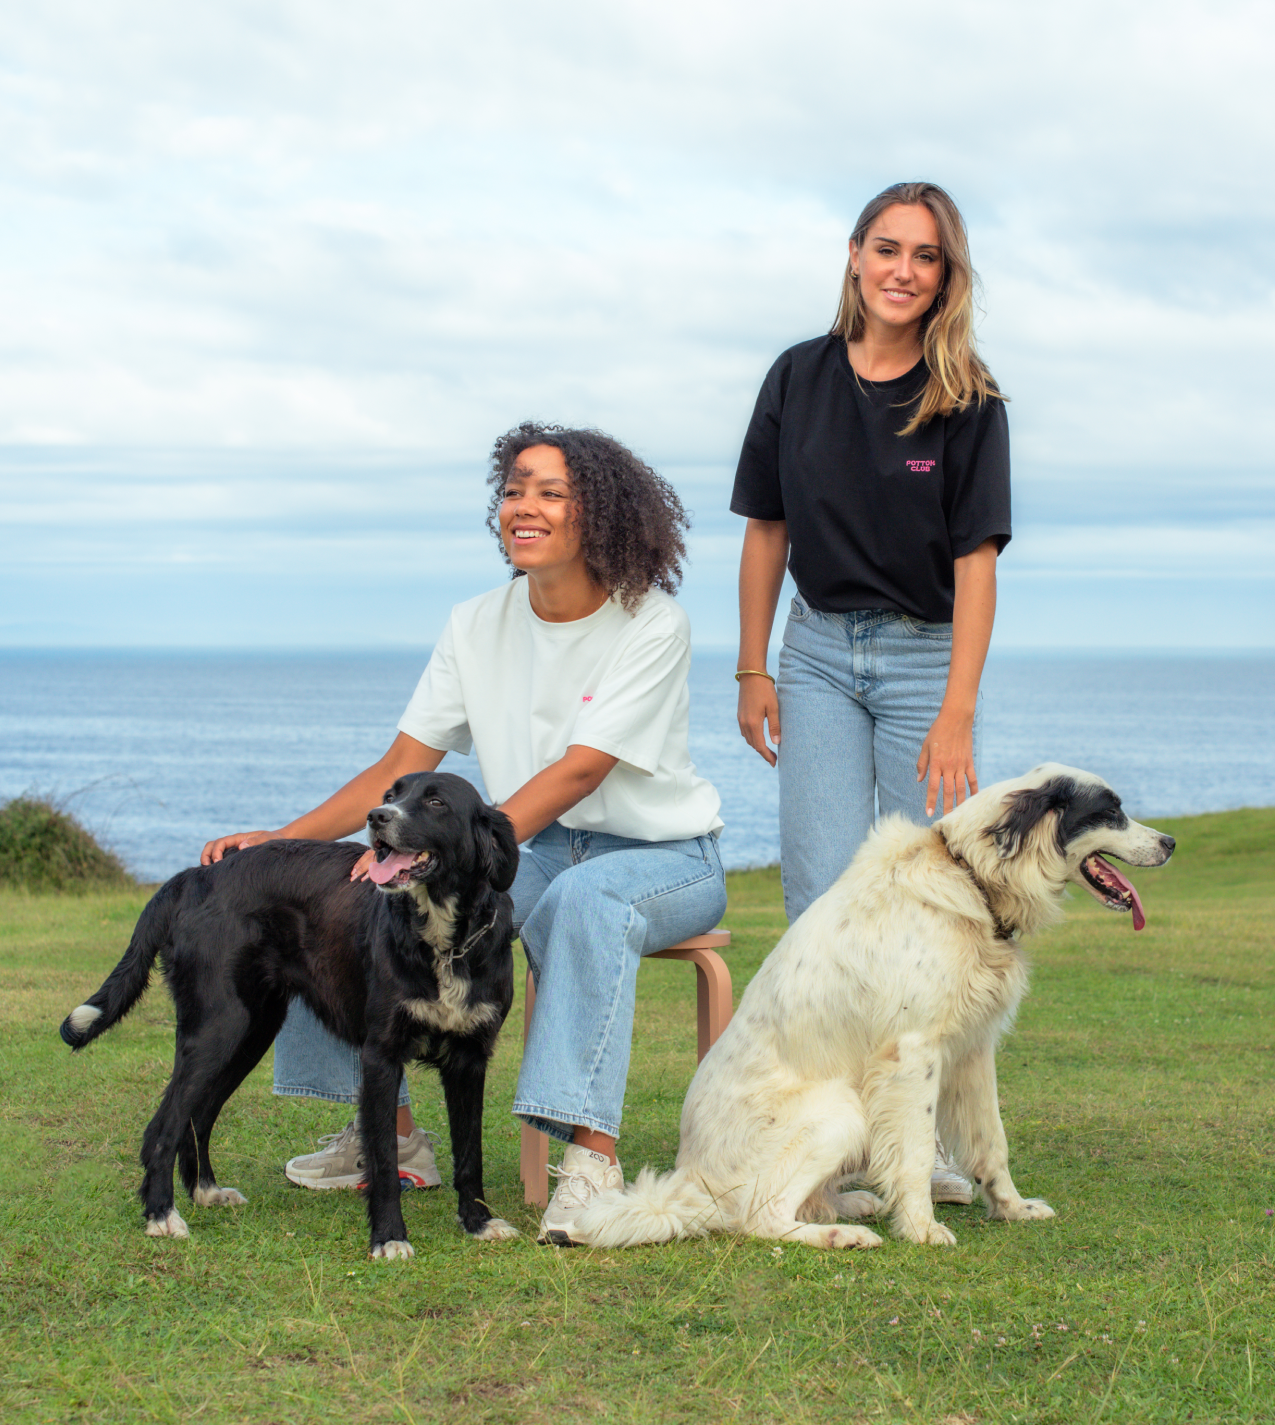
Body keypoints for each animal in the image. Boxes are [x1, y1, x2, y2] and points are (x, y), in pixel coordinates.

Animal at [59, 775, 518, 1254]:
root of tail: (198, 875)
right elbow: (384, 1161)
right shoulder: (381, 1057)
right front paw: (389, 1237)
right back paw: (161, 1214)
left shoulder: (470, 1061)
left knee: (197, 1118)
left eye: (436, 802)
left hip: (249, 1033)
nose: (376, 817)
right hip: (216, 1029)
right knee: (162, 1127)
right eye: (390, 796)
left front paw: (479, 1222)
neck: (446, 944)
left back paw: (206, 1191)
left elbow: (470, 1154)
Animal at [575, 769, 1173, 1248]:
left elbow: (991, 1143)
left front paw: (1012, 1208)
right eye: (1110, 812)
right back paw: (842, 1234)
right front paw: (922, 1228)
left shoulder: (973, 1050)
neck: (969, 875)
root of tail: (689, 1180)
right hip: (841, 1109)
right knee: (758, 1216)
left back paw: (850, 1204)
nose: (1170, 841)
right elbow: (916, 1153)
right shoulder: (912, 1055)